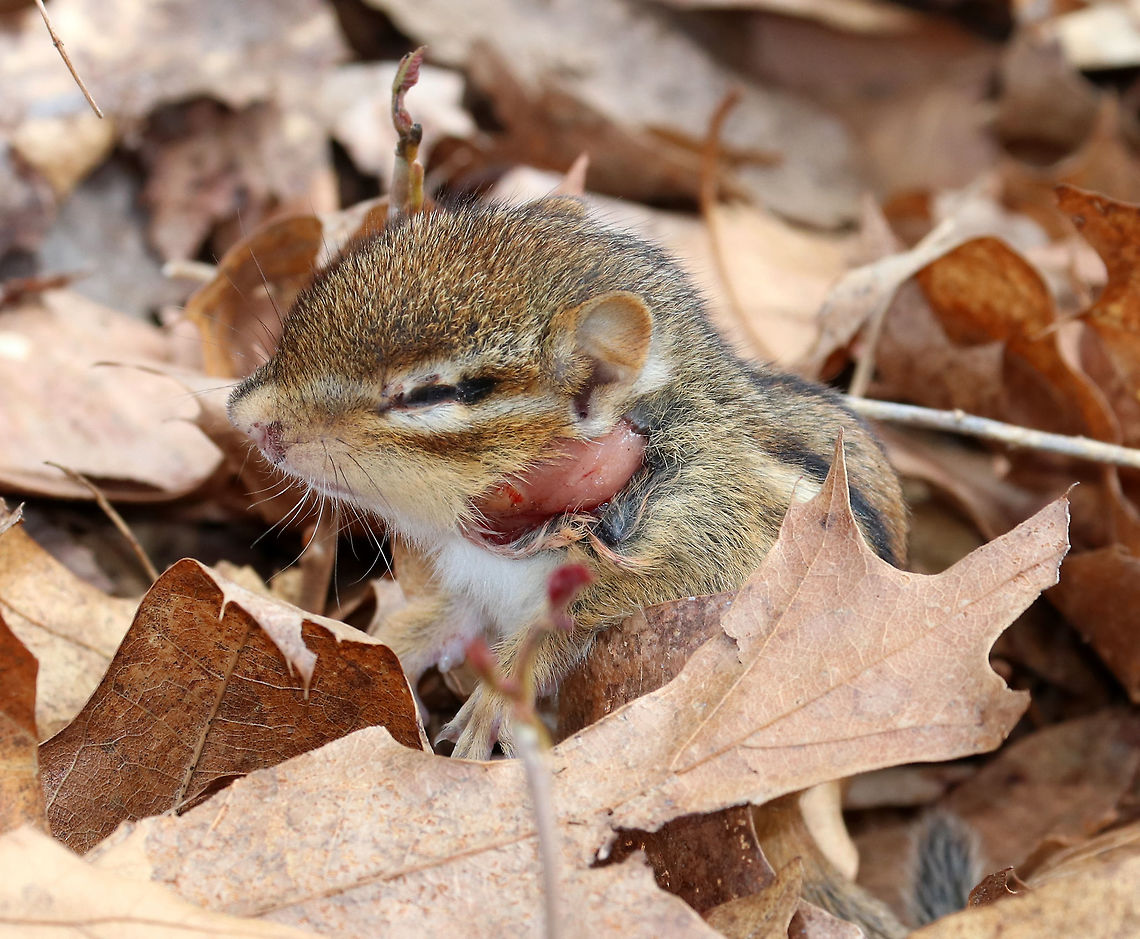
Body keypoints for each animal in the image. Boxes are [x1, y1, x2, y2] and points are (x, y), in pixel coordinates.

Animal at [227, 196, 908, 761]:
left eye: (431, 394)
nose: (246, 416)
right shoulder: (478, 585)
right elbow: (436, 620)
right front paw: (378, 643)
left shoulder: (694, 544)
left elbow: (578, 616)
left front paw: (495, 699)